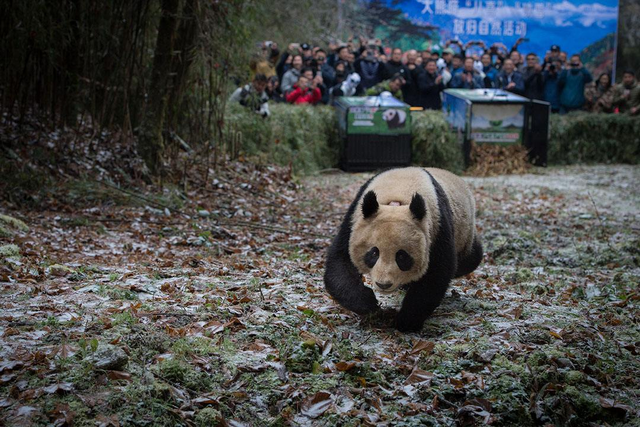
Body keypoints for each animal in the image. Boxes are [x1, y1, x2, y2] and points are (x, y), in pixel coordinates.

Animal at [322, 169, 482, 332]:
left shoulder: (437, 227)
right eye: (374, 253)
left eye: (401, 256)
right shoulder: (354, 220)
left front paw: (406, 321)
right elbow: (340, 262)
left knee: (470, 259)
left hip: (465, 233)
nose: (383, 285)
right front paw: (369, 305)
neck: (398, 196)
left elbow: (436, 273)